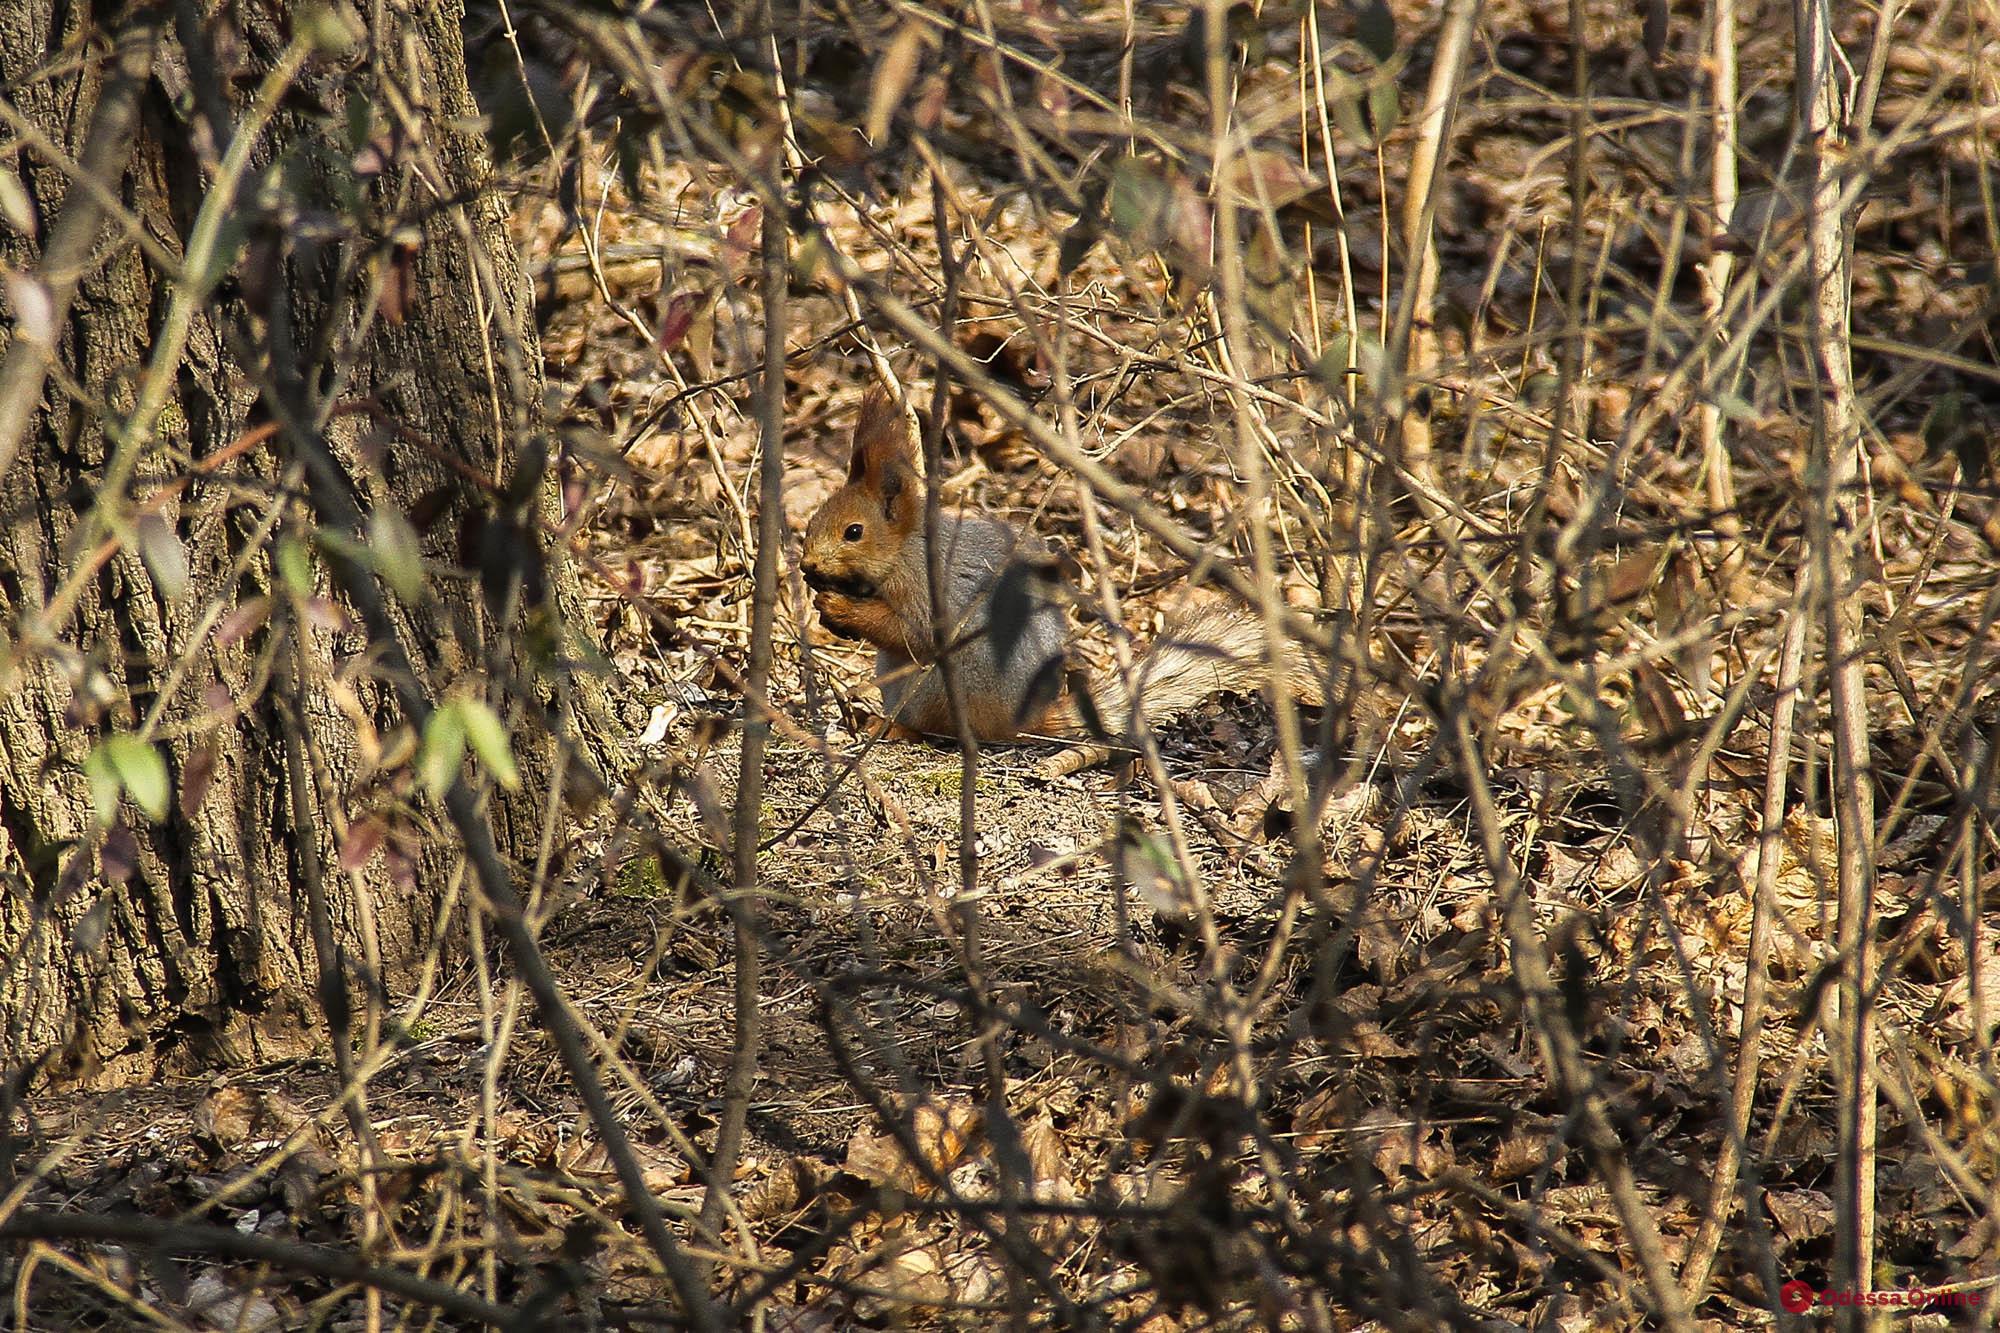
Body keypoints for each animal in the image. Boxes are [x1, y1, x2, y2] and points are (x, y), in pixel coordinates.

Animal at [796, 390, 1328, 752]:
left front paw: (838, 606)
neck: (906, 550)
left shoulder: (929, 588)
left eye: (854, 532)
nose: (806, 567)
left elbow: (915, 632)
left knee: (937, 724)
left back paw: (897, 727)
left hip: (941, 687)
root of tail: (1019, 721)